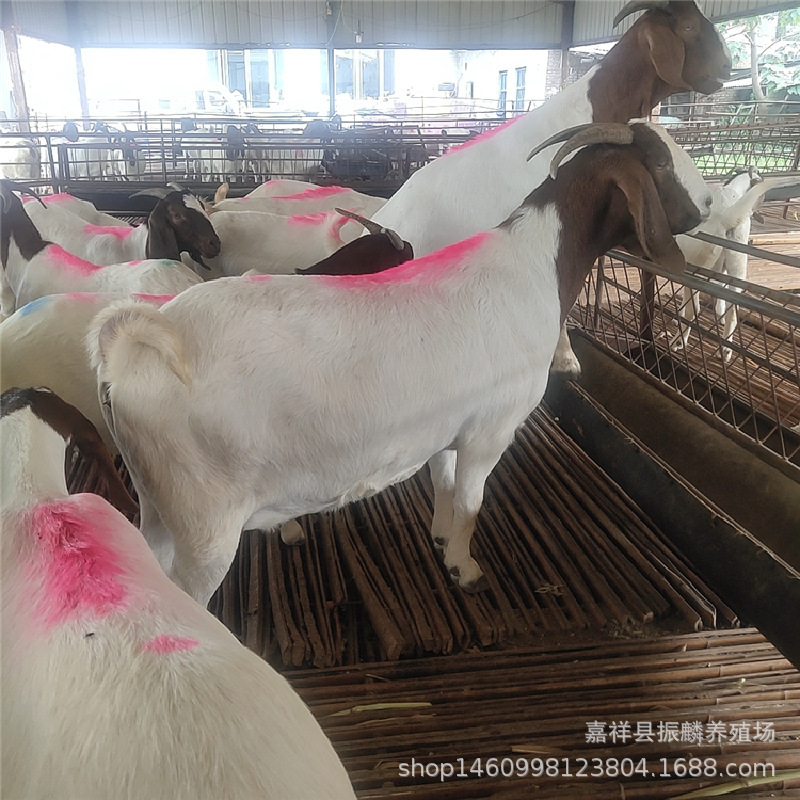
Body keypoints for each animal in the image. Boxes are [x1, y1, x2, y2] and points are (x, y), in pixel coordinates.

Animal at [89, 121, 711, 606]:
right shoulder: (492, 428)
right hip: (203, 523)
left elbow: (443, 482)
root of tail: (139, 345)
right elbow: (472, 500)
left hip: (157, 505)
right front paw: (467, 569)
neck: (535, 263)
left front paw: (440, 541)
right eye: (659, 162)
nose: (706, 204)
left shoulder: (449, 425)